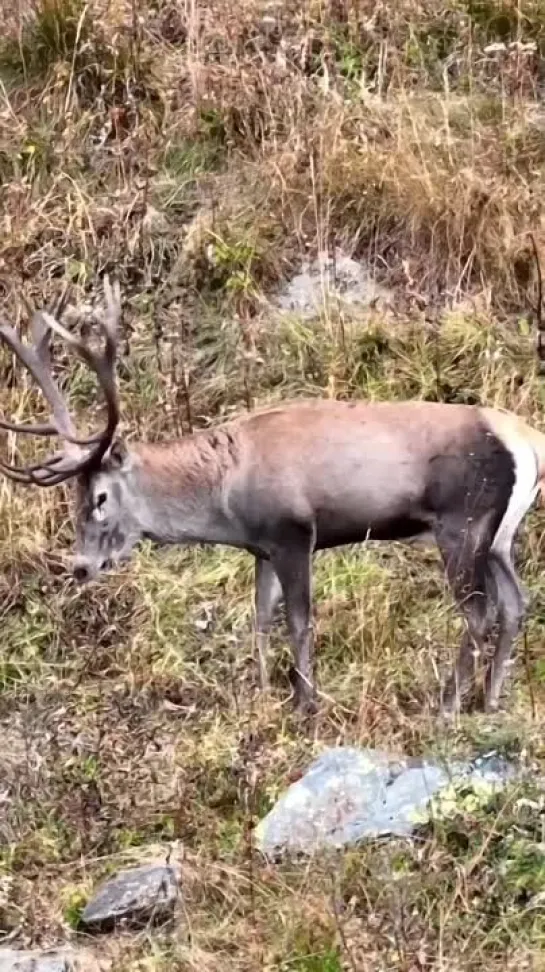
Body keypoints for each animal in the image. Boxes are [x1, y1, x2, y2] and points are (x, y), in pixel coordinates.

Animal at [1, 270, 544, 716]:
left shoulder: (293, 532)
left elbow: (299, 621)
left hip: (462, 522)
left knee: (479, 611)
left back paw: (448, 705)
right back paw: (491, 698)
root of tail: (527, 440)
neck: (228, 493)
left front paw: (306, 703)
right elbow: (260, 618)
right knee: (515, 602)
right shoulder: (260, 548)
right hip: (498, 535)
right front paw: (261, 693)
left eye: (100, 497)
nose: (80, 566)